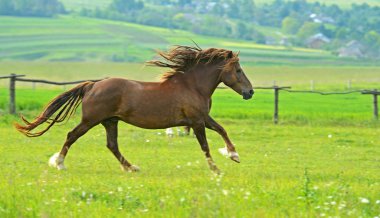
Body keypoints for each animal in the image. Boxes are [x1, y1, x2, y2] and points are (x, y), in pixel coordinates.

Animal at [14, 46, 254, 174]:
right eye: (238, 70)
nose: (250, 92)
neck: (192, 86)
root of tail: (92, 85)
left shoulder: (202, 118)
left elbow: (222, 130)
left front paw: (234, 155)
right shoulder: (196, 121)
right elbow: (205, 146)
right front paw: (216, 169)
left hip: (110, 121)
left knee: (112, 145)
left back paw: (132, 168)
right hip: (91, 120)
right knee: (72, 135)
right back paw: (60, 164)